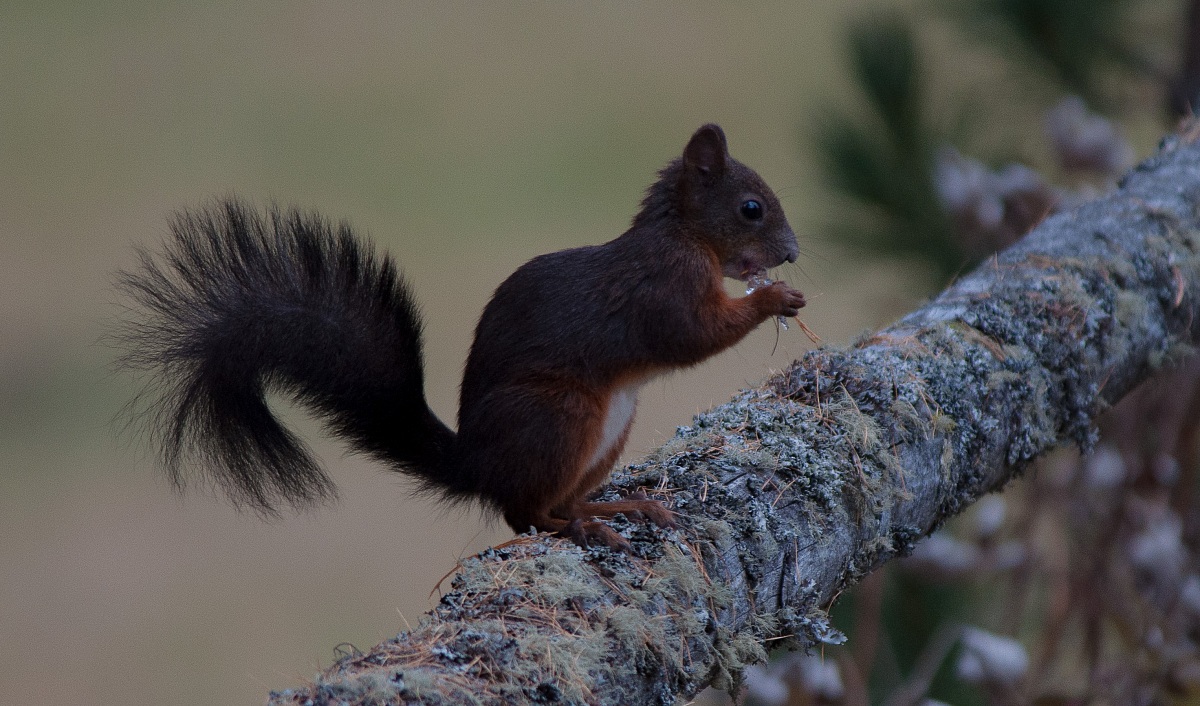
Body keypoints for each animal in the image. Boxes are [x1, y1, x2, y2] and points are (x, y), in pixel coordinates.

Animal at [118, 123, 804, 550]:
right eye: (751, 208)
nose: (793, 255)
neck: (684, 235)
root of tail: (478, 464)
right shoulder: (662, 289)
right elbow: (692, 335)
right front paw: (775, 298)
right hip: (560, 415)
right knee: (523, 514)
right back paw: (584, 528)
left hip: (605, 431)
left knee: (547, 505)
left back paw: (612, 508)